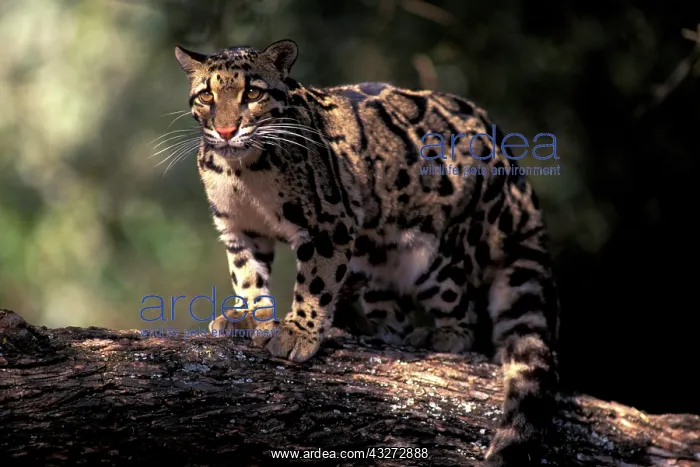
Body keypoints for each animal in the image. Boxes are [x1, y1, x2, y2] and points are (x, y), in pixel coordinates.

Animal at [173, 39, 560, 466]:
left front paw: (297, 333)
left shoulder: (331, 223)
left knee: (466, 315)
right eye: (207, 95)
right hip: (377, 267)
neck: (240, 169)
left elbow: (314, 284)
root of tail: (518, 181)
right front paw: (248, 317)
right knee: (394, 315)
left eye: (253, 93)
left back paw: (441, 335)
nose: (226, 130)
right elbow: (247, 277)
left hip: (439, 257)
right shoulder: (241, 230)